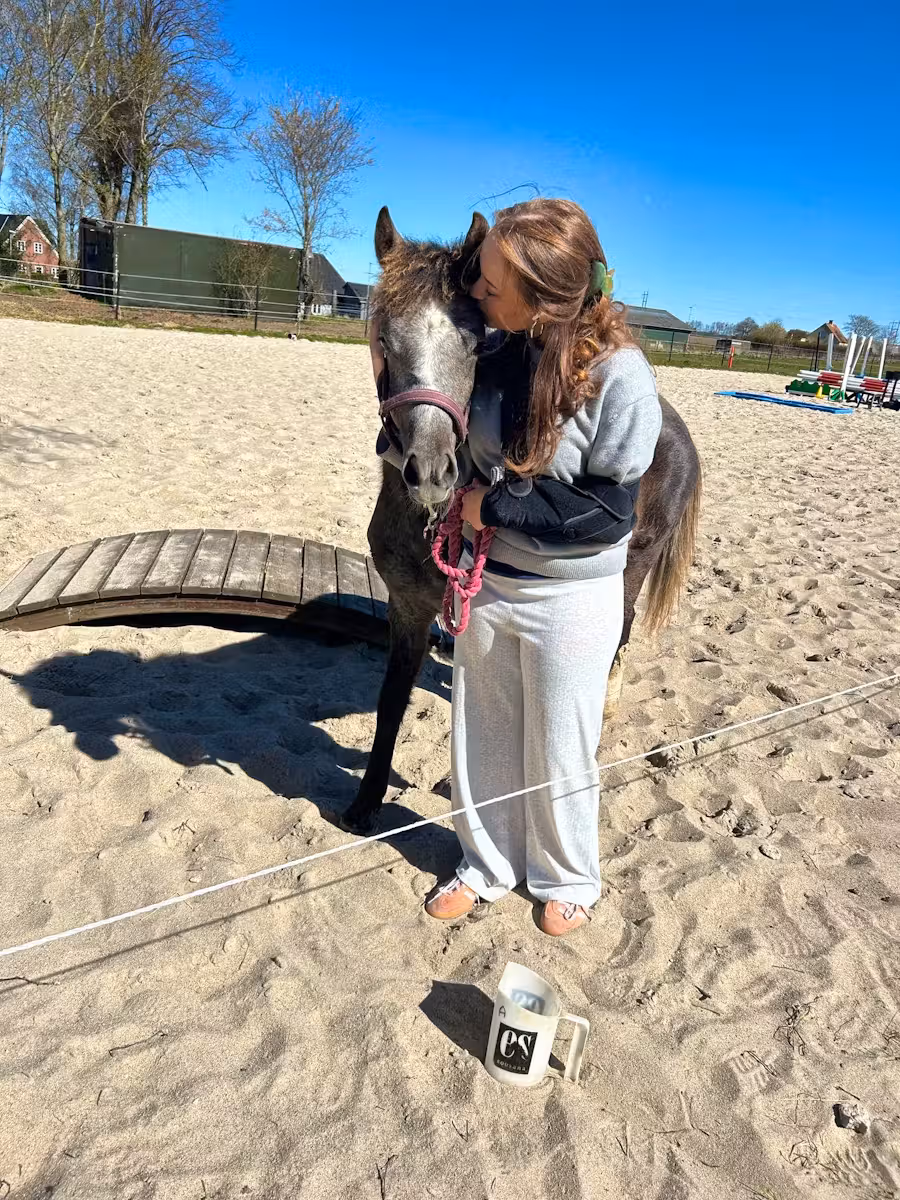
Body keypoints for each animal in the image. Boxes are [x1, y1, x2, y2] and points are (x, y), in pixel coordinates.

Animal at [340, 207, 702, 835]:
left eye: (474, 344)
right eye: (383, 337)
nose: (432, 470)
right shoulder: (408, 609)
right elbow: (391, 702)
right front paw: (367, 801)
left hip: (630, 569)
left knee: (616, 640)